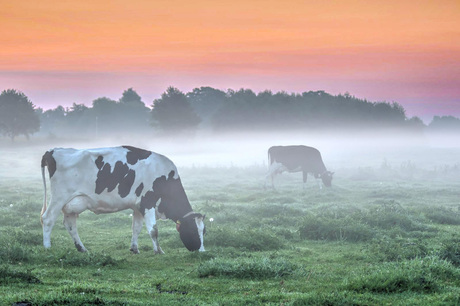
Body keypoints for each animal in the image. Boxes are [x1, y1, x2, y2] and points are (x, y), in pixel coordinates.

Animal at [40, 146, 206, 253]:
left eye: (203, 231)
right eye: (192, 230)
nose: (202, 251)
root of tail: (53, 150)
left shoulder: (138, 207)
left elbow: (136, 228)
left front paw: (134, 248)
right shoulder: (148, 202)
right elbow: (153, 230)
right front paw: (159, 250)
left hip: (72, 203)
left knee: (70, 225)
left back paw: (82, 248)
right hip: (59, 198)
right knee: (47, 219)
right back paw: (47, 246)